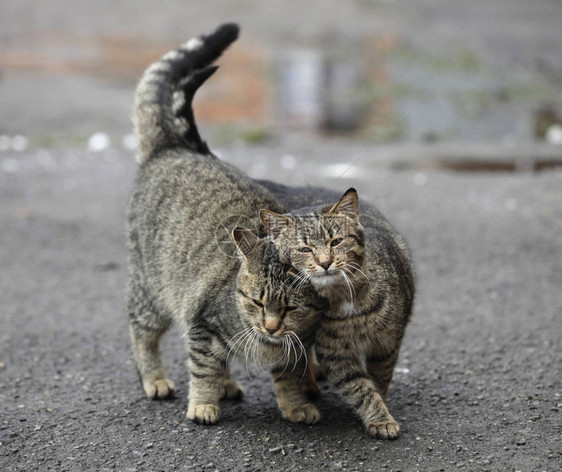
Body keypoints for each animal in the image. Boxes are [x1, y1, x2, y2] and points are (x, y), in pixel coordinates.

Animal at [126, 24, 328, 426]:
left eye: (290, 308)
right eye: (256, 301)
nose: (270, 326)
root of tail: (175, 147)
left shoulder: (298, 346)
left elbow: (291, 376)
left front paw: (296, 405)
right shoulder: (203, 326)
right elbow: (203, 368)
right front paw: (203, 404)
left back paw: (228, 384)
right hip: (151, 289)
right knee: (141, 331)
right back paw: (155, 378)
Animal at [260, 185, 414, 438]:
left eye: (336, 241)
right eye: (305, 249)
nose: (325, 262)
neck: (344, 297)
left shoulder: (387, 343)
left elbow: (380, 379)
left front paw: (382, 409)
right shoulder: (335, 354)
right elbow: (360, 389)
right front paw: (379, 417)